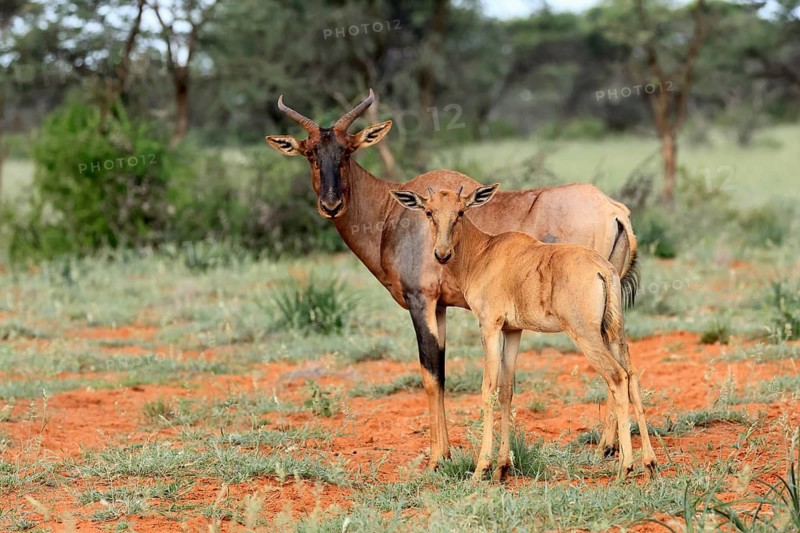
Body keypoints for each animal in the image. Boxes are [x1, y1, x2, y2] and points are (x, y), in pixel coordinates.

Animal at [265, 90, 640, 469]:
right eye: (310, 152)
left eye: (346, 151)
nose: (331, 204)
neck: (395, 211)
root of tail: (613, 210)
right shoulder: (441, 307)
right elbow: (441, 373)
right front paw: (446, 453)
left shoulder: (421, 301)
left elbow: (431, 374)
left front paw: (437, 458)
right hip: (609, 313)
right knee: (624, 362)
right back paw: (610, 448)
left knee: (613, 370)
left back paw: (609, 449)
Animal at [390, 184, 657, 481]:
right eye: (429, 212)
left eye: (460, 211)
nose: (442, 254)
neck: (485, 252)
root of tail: (603, 270)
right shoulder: (513, 330)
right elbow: (507, 390)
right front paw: (502, 468)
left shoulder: (490, 326)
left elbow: (488, 388)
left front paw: (481, 469)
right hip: (613, 333)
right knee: (632, 375)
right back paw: (649, 463)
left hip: (586, 336)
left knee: (617, 377)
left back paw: (625, 467)